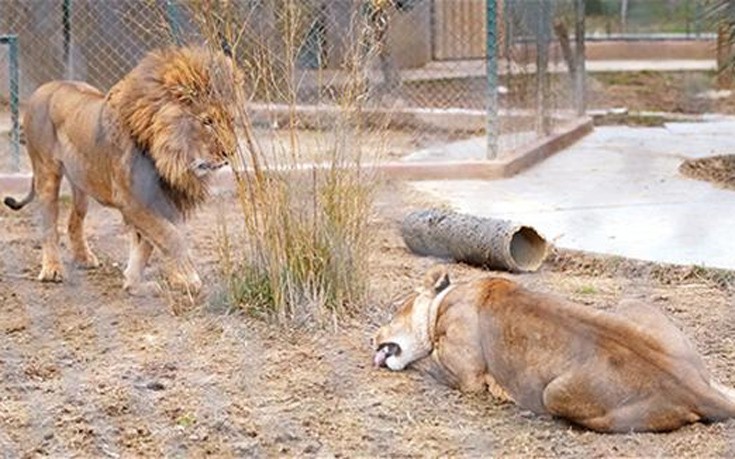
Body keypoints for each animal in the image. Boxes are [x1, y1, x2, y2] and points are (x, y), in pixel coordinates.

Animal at [5, 45, 242, 292]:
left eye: (231, 119)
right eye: (207, 122)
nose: (231, 151)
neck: (169, 158)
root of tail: (43, 88)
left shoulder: (162, 198)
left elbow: (146, 244)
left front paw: (134, 282)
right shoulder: (132, 200)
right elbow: (170, 236)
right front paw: (187, 277)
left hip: (83, 183)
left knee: (74, 221)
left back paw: (84, 258)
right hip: (46, 172)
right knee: (49, 226)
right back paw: (52, 270)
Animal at [376, 268, 735, 434]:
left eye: (395, 309)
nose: (375, 335)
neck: (443, 302)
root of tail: (691, 384)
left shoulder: (464, 373)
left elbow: (425, 362)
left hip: (555, 393)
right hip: (632, 303)